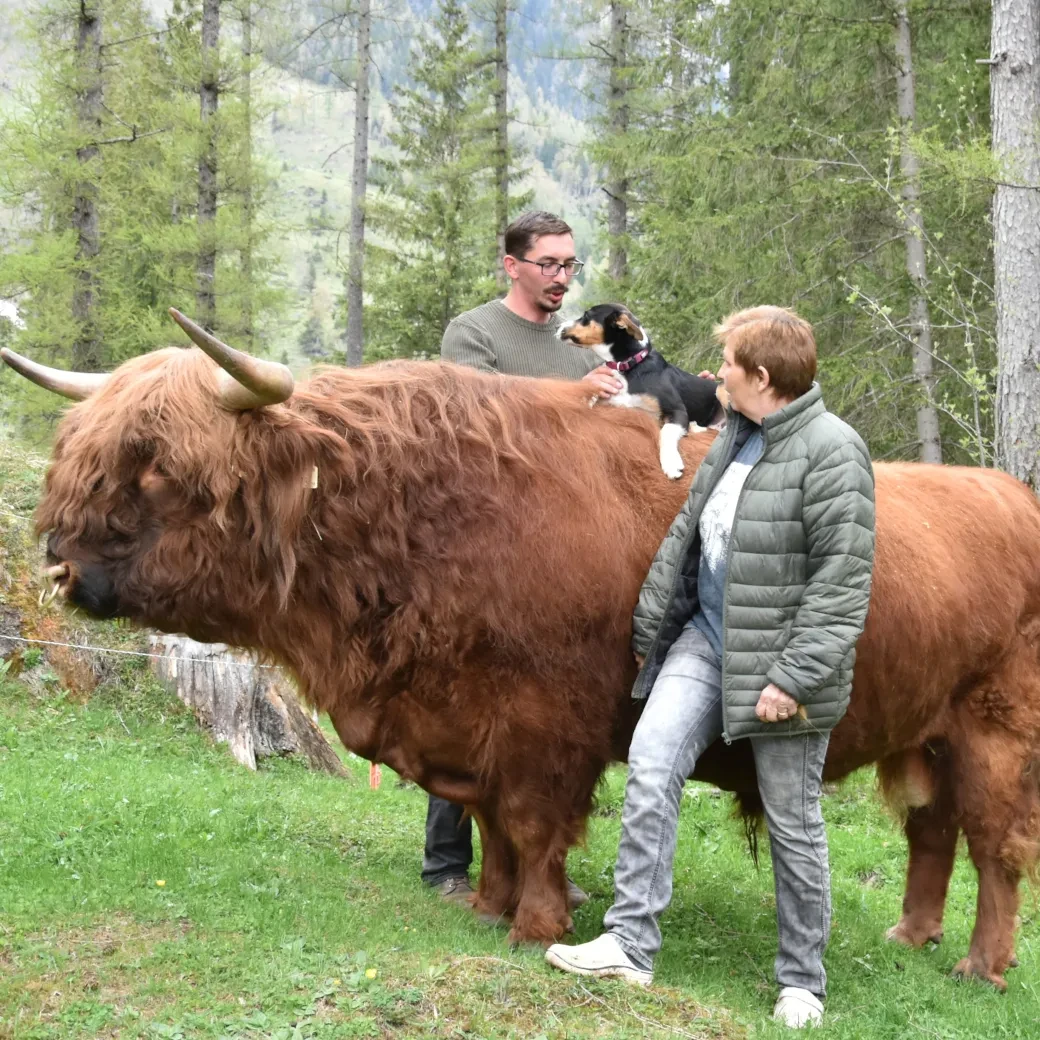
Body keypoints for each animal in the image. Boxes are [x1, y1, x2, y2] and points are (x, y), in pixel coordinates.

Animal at [561, 301, 723, 478]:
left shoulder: (677, 410)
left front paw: (671, 463)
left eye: (586, 316)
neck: (627, 367)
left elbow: (665, 432)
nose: (559, 327)